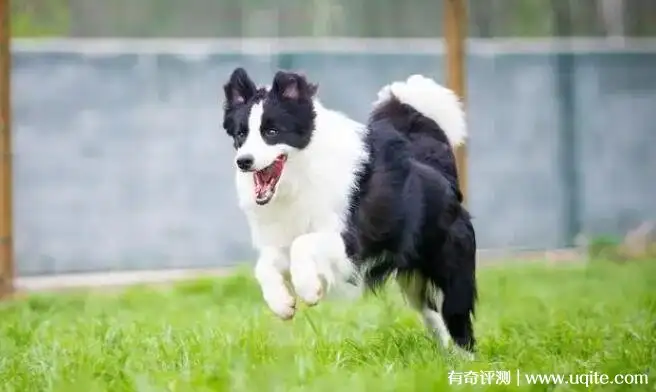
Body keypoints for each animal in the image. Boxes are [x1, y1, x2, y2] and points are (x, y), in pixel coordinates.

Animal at [222, 67, 476, 352]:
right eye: (241, 135)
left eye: (272, 132)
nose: (243, 161)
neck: (300, 175)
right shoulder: (284, 238)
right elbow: (264, 265)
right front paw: (281, 304)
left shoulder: (350, 242)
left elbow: (303, 244)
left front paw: (309, 290)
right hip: (414, 280)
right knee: (434, 315)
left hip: (450, 265)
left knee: (457, 318)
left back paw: (465, 359)